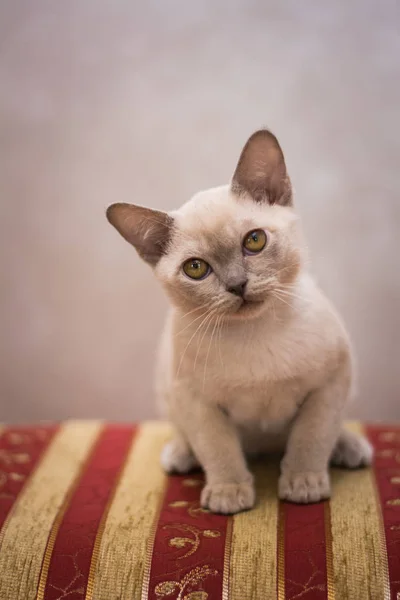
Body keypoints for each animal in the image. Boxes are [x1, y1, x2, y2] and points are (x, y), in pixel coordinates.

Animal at [106, 131, 372, 516]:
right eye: (196, 268)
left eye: (255, 241)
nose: (237, 285)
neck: (255, 333)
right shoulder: (198, 402)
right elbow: (219, 450)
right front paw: (229, 494)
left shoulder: (329, 385)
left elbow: (311, 438)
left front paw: (303, 484)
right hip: (166, 392)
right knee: (185, 435)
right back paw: (180, 456)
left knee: (332, 430)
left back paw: (350, 449)